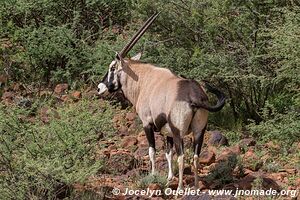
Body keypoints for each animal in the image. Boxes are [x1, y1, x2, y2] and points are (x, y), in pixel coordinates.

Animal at [96, 12, 225, 191]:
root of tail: (194, 96)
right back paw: (196, 186)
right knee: (195, 156)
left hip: (179, 132)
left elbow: (152, 151)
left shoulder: (147, 124)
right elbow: (168, 153)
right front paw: (169, 177)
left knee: (182, 156)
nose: (100, 88)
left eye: (112, 67)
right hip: (199, 131)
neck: (143, 80)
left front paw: (153, 175)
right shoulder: (167, 131)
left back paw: (180, 188)